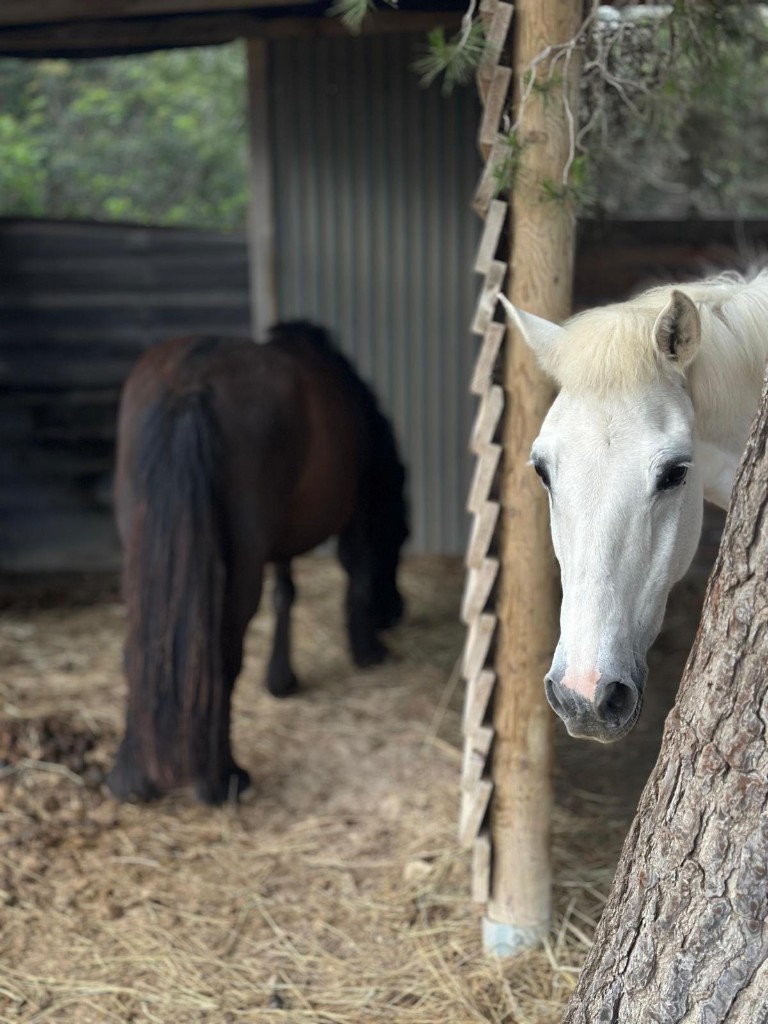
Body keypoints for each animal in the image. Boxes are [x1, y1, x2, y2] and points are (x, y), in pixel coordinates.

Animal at [108, 321, 409, 804]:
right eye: (400, 536)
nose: (396, 612)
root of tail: (191, 379)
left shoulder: (282, 535)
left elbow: (285, 591)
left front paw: (281, 678)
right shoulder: (357, 512)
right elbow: (357, 573)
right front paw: (366, 650)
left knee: (139, 644)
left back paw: (131, 778)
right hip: (242, 561)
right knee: (224, 652)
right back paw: (221, 779)